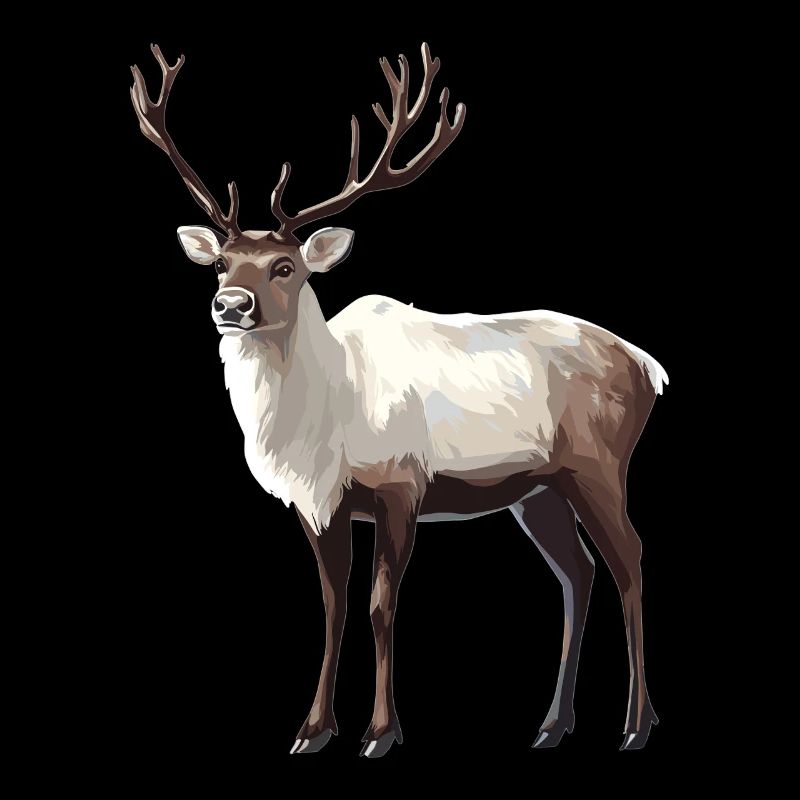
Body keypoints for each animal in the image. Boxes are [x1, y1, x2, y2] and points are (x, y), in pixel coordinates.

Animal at [130, 43, 667, 757]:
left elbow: (381, 604)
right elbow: (332, 605)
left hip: (599, 465)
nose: (230, 306)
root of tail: (648, 367)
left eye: (285, 267)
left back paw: (636, 724)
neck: (319, 429)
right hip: (539, 489)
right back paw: (552, 725)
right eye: (221, 263)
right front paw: (313, 729)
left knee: (629, 560)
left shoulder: (401, 484)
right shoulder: (318, 506)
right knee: (576, 573)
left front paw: (381, 732)